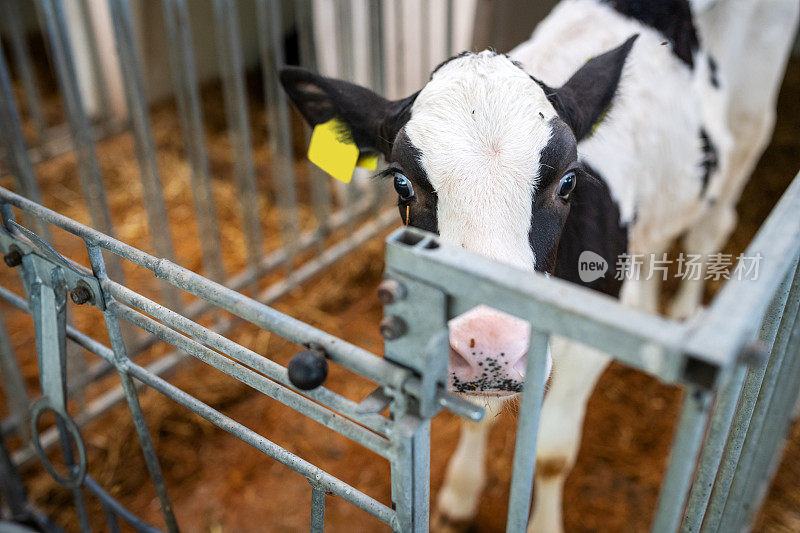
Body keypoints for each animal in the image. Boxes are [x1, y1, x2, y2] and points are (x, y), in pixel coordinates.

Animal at [282, 0, 800, 528]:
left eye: (568, 182)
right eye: (402, 183)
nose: (491, 346)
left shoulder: (588, 347)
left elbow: (551, 453)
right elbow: (475, 413)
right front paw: (460, 494)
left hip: (749, 118)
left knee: (712, 224)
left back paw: (683, 313)